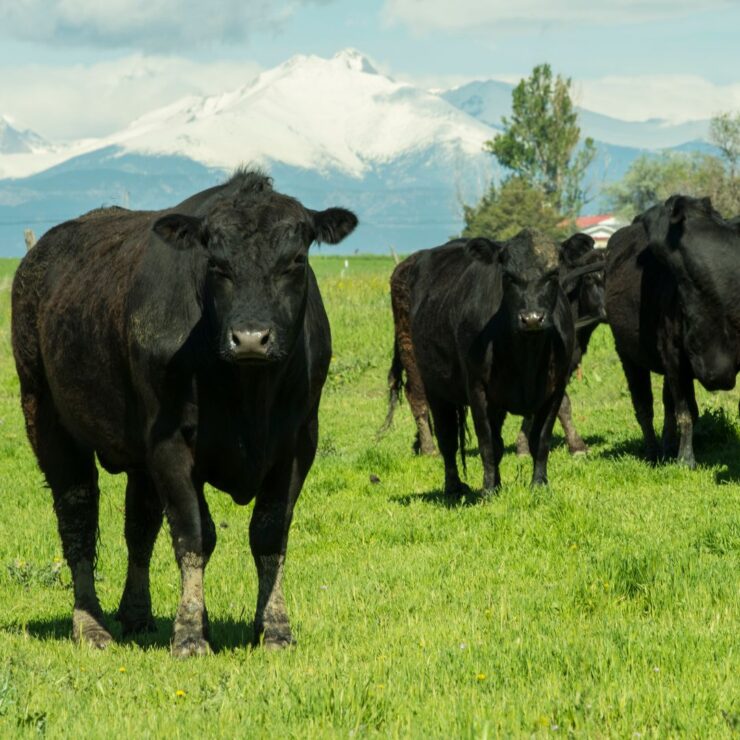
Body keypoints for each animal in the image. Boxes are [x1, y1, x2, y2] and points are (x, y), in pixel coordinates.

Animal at [10, 171, 358, 656]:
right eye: (216, 264)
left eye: (296, 260)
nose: (251, 338)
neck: (249, 396)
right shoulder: (171, 442)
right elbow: (194, 534)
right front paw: (191, 633)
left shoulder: (298, 443)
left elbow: (269, 535)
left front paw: (274, 628)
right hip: (45, 415)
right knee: (77, 514)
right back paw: (90, 623)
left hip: (138, 453)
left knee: (139, 525)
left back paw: (137, 615)